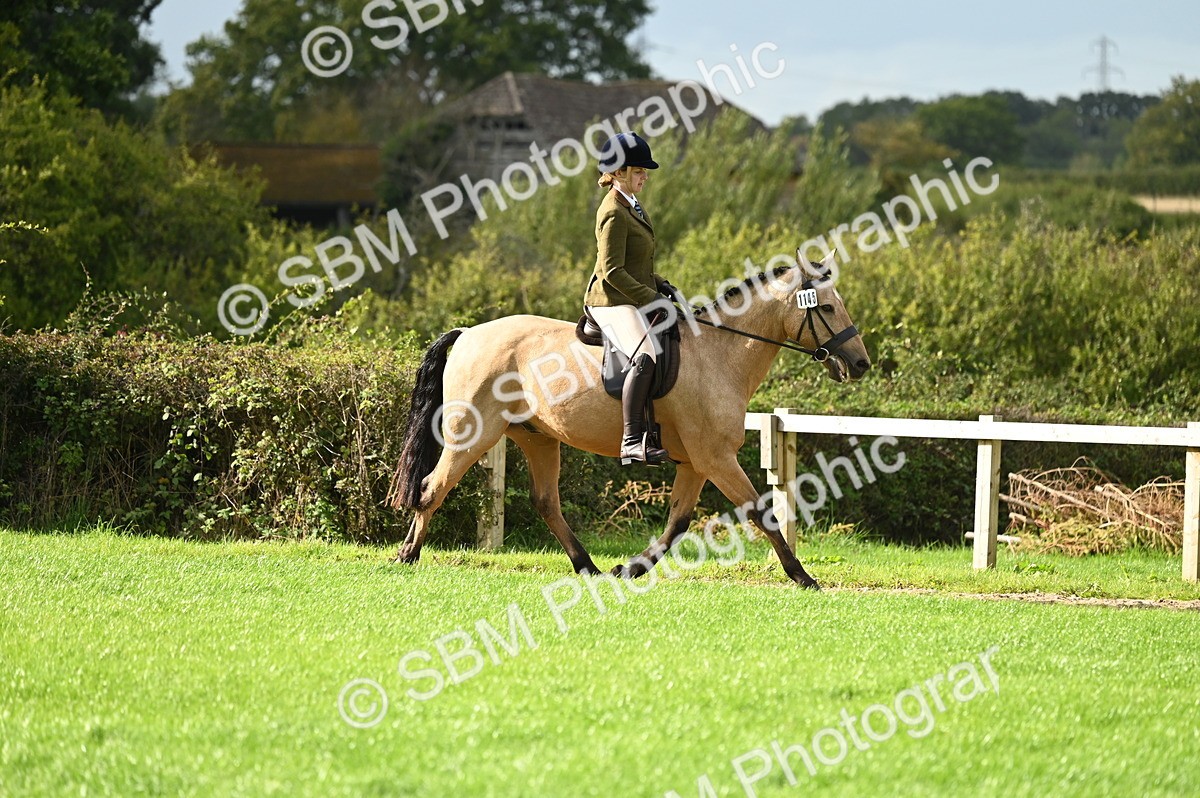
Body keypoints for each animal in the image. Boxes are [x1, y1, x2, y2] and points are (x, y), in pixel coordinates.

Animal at [387, 255, 871, 589]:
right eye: (828, 308)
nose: (861, 364)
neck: (718, 353)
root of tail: (469, 332)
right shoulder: (716, 458)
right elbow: (762, 513)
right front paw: (803, 576)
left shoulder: (695, 463)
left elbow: (677, 523)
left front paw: (630, 568)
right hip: (473, 434)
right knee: (432, 487)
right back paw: (407, 554)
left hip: (538, 438)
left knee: (546, 502)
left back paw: (589, 567)